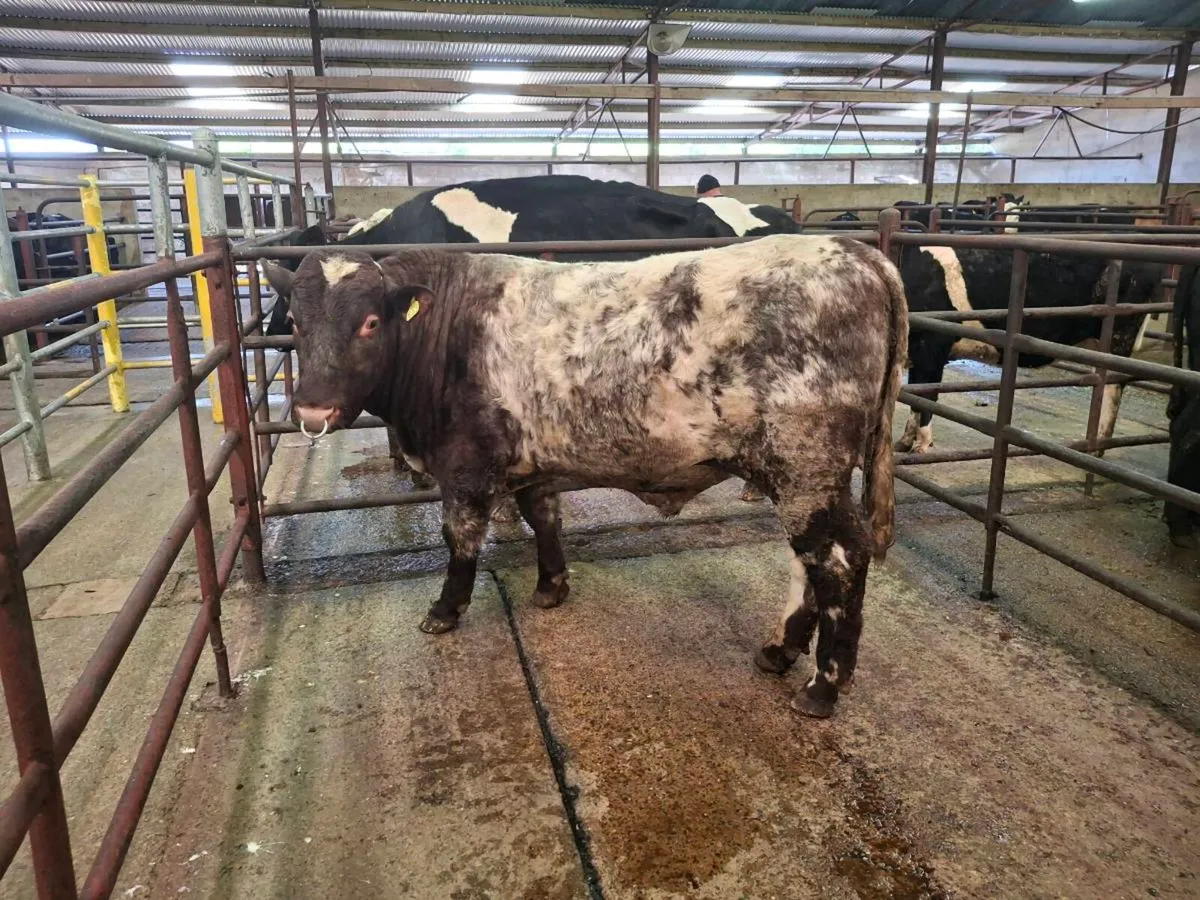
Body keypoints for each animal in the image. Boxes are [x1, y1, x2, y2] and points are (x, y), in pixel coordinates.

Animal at [262, 235, 908, 718]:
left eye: (371, 322)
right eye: (295, 319)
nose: (313, 411)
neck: (443, 332)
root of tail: (858, 253)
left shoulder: (466, 466)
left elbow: (460, 537)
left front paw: (445, 609)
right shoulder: (530, 462)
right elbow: (543, 516)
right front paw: (552, 585)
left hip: (807, 469)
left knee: (839, 559)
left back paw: (823, 685)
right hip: (806, 478)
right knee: (811, 563)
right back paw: (781, 650)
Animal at [895, 247, 1161, 454]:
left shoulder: (933, 349)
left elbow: (926, 397)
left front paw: (921, 446)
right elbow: (914, 397)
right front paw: (904, 442)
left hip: (1119, 336)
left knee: (1113, 387)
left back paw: (1098, 447)